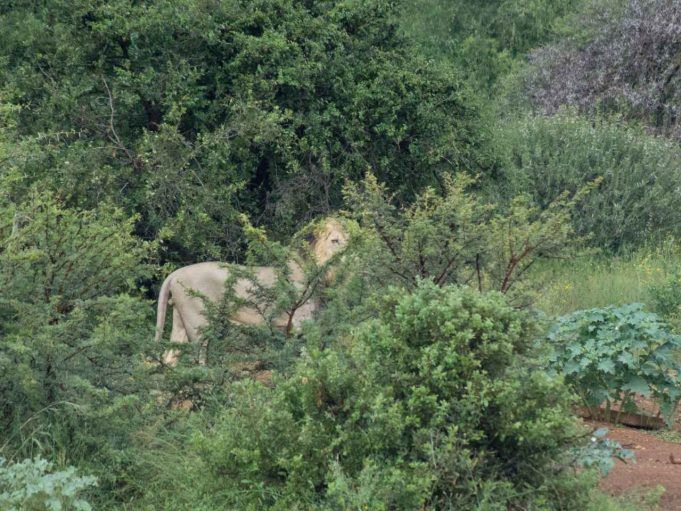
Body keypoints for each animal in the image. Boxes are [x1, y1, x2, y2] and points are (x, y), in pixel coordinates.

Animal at [155, 218, 348, 366]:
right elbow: (307, 351)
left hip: (180, 321)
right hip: (198, 322)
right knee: (197, 355)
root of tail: (174, 274)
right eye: (335, 241)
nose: (349, 253)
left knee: (169, 356)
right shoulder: (302, 321)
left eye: (349, 239)